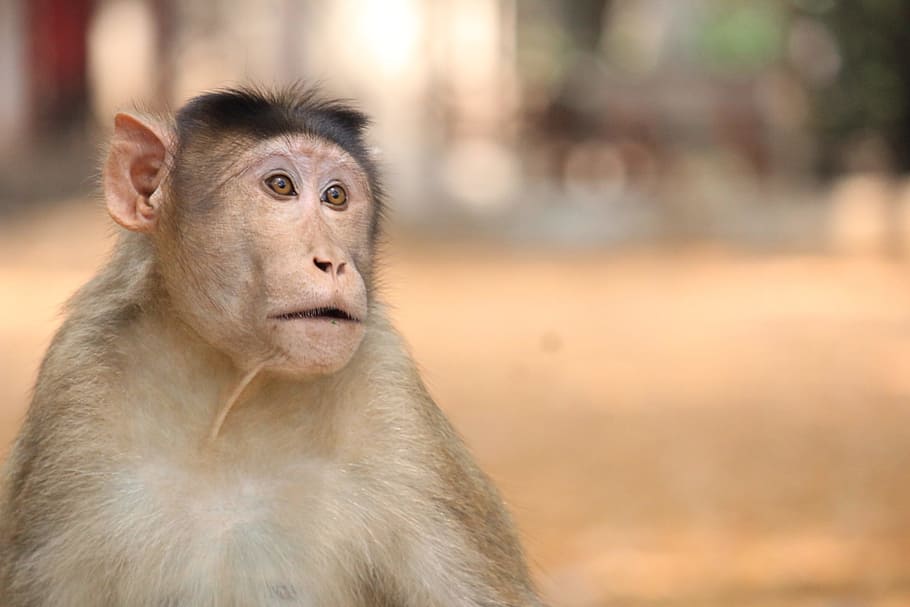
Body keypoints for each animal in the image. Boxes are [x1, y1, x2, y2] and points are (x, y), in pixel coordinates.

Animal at [0, 87, 545, 607]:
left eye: (336, 196)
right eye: (280, 186)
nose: (333, 262)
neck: (230, 400)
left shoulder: (393, 402)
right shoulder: (78, 384)